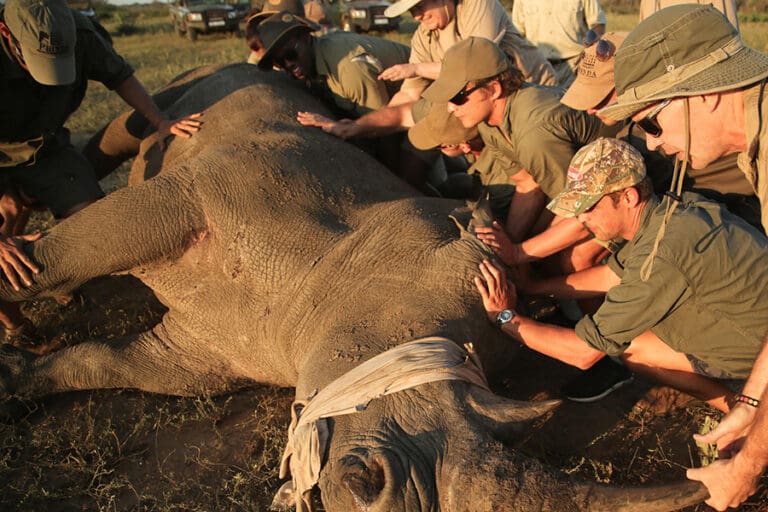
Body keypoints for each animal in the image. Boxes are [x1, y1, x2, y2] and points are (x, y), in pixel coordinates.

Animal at [0, 64, 707, 511]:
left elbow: (110, 363)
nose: (383, 490)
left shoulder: (214, 349)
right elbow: (69, 254)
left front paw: (17, 382)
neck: (323, 277)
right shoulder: (205, 189)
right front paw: (16, 275)